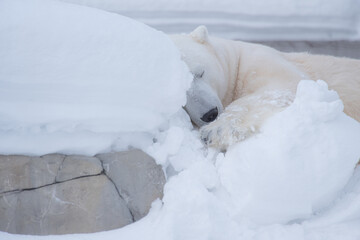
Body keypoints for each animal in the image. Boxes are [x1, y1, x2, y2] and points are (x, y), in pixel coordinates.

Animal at [170, 25, 360, 150]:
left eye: (200, 72)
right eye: (179, 96)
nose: (210, 114)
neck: (234, 63)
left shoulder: (256, 61)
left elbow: (283, 86)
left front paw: (214, 131)